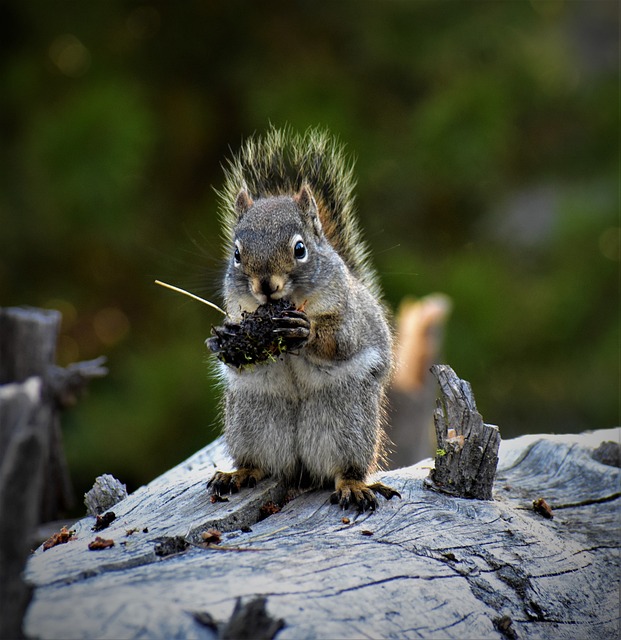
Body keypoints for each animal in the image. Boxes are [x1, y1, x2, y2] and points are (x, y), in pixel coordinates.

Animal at [206, 127, 400, 512]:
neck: (289, 305)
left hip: (347, 421)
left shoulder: (349, 315)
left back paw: (353, 485)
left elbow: (341, 342)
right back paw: (238, 474)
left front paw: (306, 331)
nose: (266, 285)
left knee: (344, 467)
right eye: (236, 254)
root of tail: (301, 467)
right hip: (251, 420)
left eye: (300, 249)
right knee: (260, 464)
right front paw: (223, 339)